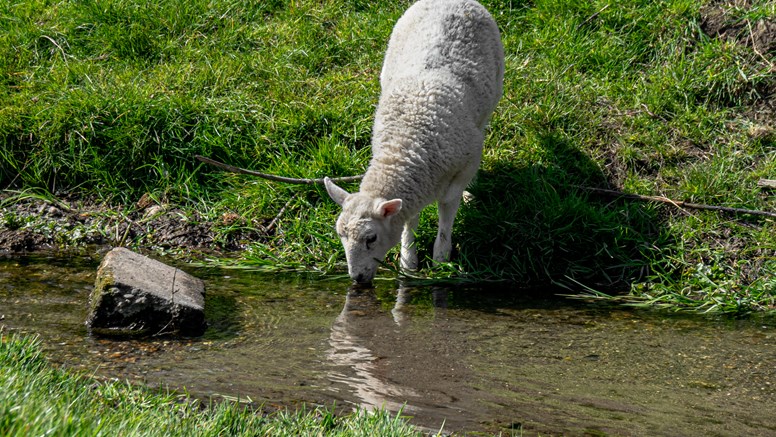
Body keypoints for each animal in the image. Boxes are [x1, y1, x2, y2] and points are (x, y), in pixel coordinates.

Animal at [322, 0, 504, 284]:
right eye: (340, 234)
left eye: (371, 238)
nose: (357, 279)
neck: (405, 145)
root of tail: (452, 1)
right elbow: (410, 220)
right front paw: (408, 262)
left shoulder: (458, 172)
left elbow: (446, 215)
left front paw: (441, 260)